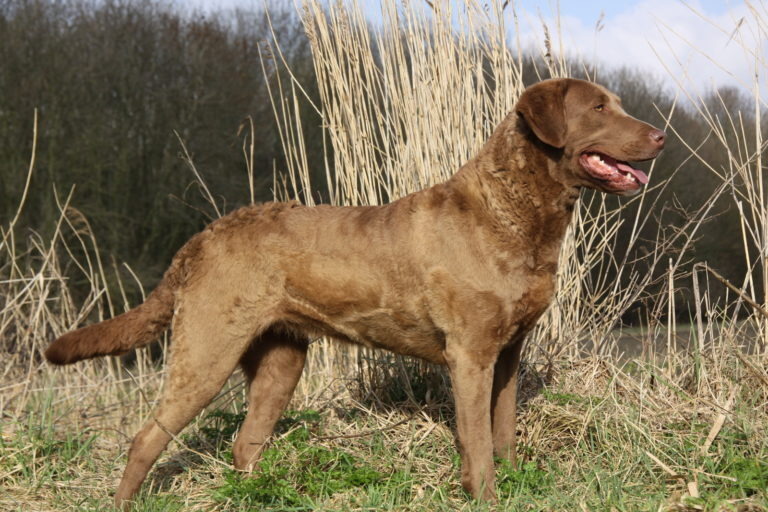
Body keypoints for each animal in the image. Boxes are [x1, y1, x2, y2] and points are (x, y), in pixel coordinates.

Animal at [46, 78, 665, 506]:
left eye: (615, 103)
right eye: (598, 108)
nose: (661, 134)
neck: (514, 212)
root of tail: (201, 237)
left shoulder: (508, 350)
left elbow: (503, 429)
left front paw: (514, 484)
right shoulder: (469, 353)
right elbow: (476, 439)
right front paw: (486, 496)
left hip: (281, 359)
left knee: (246, 441)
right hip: (207, 350)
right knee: (146, 437)